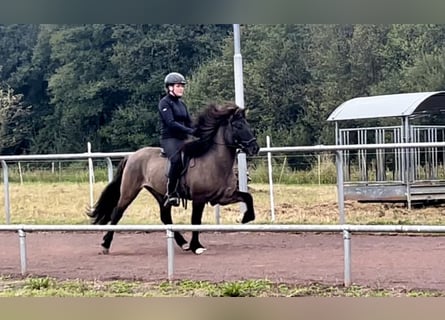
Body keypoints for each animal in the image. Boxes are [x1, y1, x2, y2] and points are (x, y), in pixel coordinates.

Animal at [86, 102, 258, 255]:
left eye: (247, 124)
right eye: (238, 126)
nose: (255, 147)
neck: (214, 161)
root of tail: (132, 156)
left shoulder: (223, 197)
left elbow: (247, 197)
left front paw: (246, 217)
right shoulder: (199, 198)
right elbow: (195, 221)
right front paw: (197, 246)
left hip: (161, 194)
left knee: (165, 216)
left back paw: (183, 243)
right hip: (129, 191)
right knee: (117, 213)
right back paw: (105, 245)